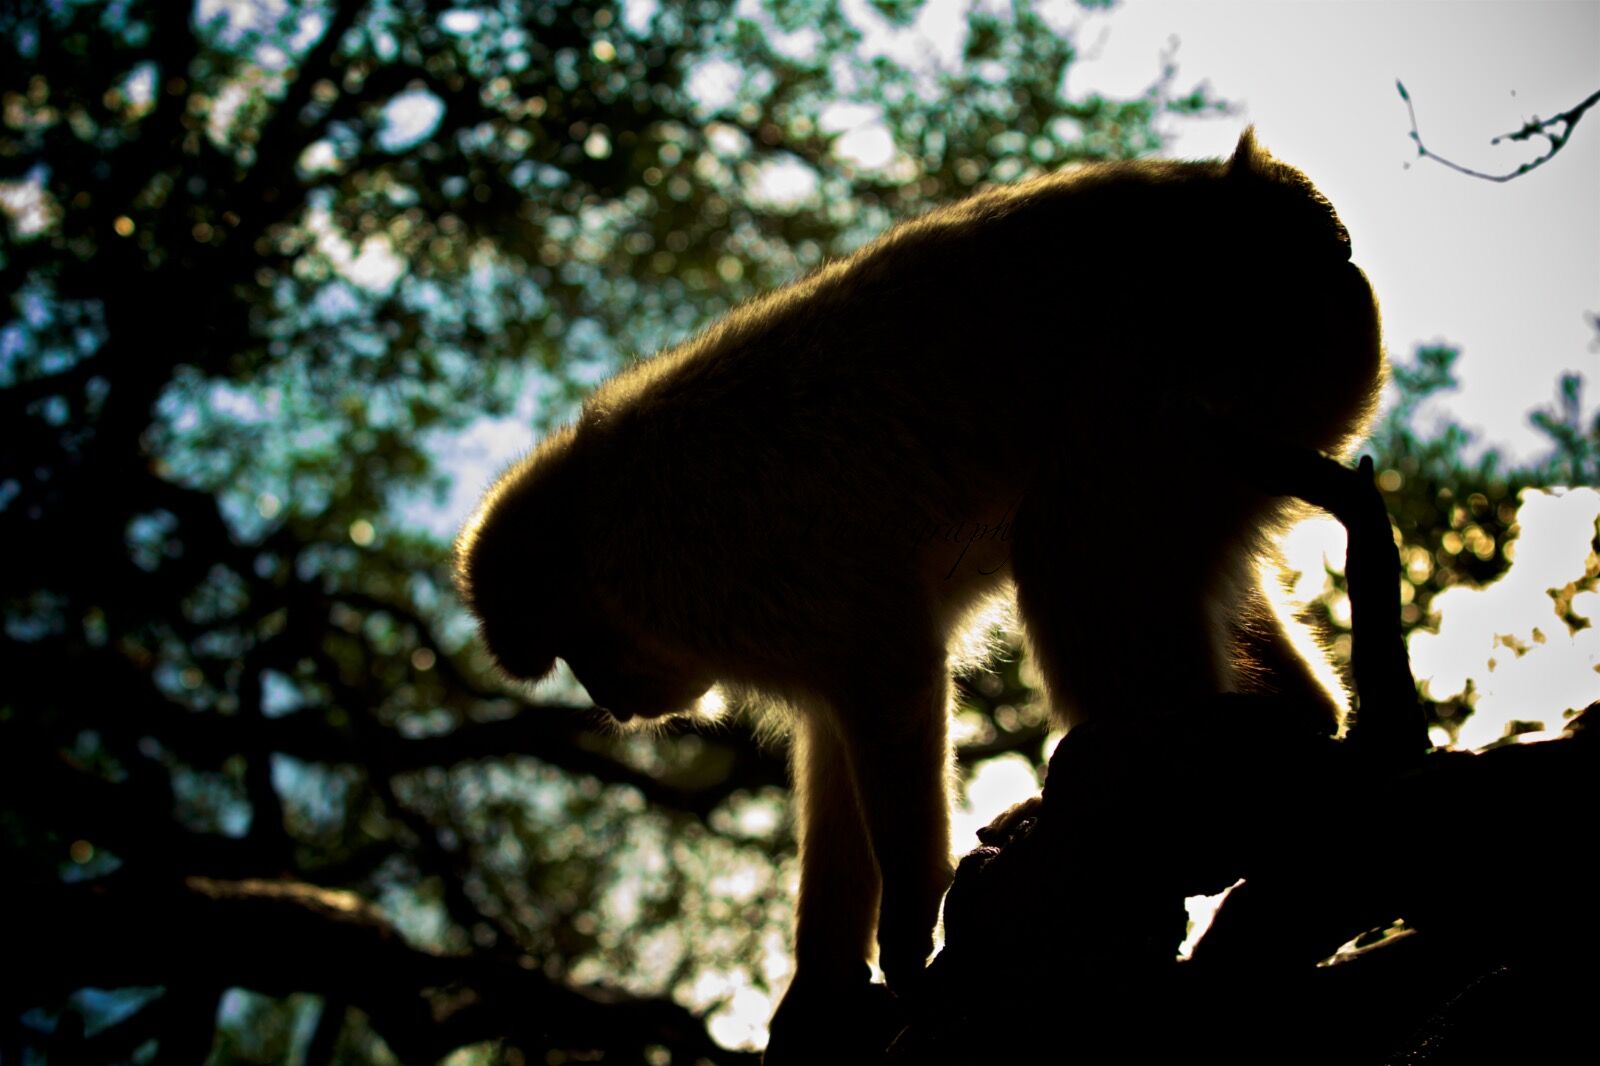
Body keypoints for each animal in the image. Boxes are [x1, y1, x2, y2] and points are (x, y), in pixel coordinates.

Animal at [454, 129, 1383, 1057]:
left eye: (579, 648)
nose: (606, 700)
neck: (592, 510)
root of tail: (1257, 199)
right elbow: (834, 732)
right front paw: (819, 989)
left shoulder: (700, 566)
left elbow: (889, 672)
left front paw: (905, 928)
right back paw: (1294, 726)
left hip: (1228, 355)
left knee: (1066, 538)